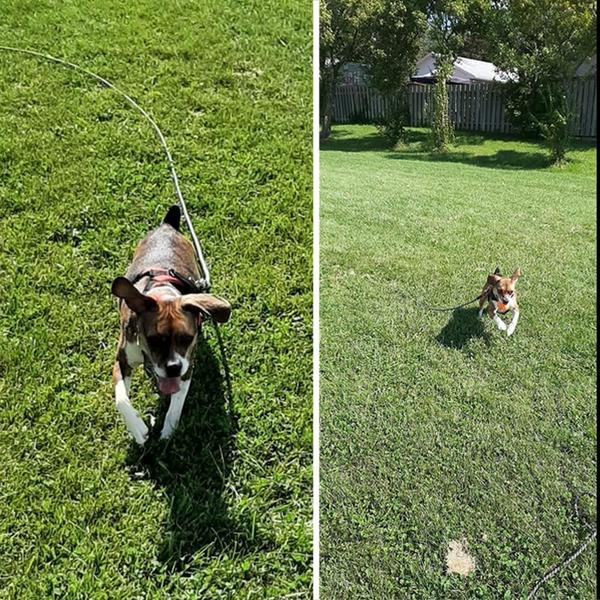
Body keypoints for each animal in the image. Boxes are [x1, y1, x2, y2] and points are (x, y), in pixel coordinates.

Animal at [110, 206, 232, 446]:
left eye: (187, 338)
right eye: (154, 340)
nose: (173, 367)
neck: (163, 292)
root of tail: (168, 225)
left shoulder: (187, 368)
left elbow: (176, 405)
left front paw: (168, 432)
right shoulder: (122, 360)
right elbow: (121, 400)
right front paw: (137, 428)